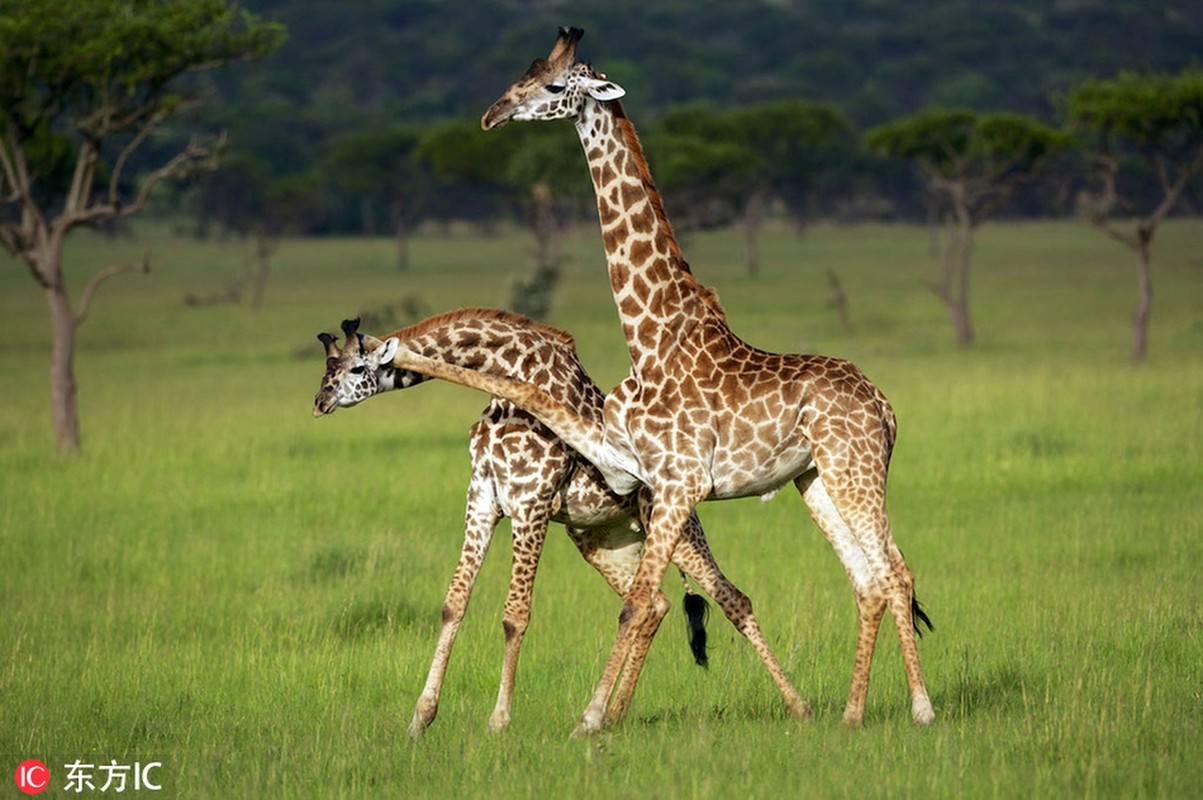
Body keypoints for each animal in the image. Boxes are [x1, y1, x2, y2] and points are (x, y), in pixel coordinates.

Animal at [315, 306, 813, 736]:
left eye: (356, 368)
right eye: (326, 367)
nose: (320, 402)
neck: (508, 387)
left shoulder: (530, 501)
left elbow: (515, 615)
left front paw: (499, 721)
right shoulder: (482, 498)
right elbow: (453, 604)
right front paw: (420, 719)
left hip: (679, 530)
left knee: (733, 599)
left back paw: (799, 706)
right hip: (601, 540)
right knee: (654, 604)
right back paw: (613, 714)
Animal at [481, 28, 938, 731]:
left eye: (555, 85)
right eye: (522, 74)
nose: (494, 113)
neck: (648, 337)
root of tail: (886, 408)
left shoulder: (678, 482)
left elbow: (638, 601)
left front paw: (591, 720)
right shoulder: (651, 484)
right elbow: (648, 600)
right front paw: (601, 715)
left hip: (854, 470)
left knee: (895, 572)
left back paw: (921, 709)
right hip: (816, 480)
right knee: (868, 578)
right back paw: (851, 714)